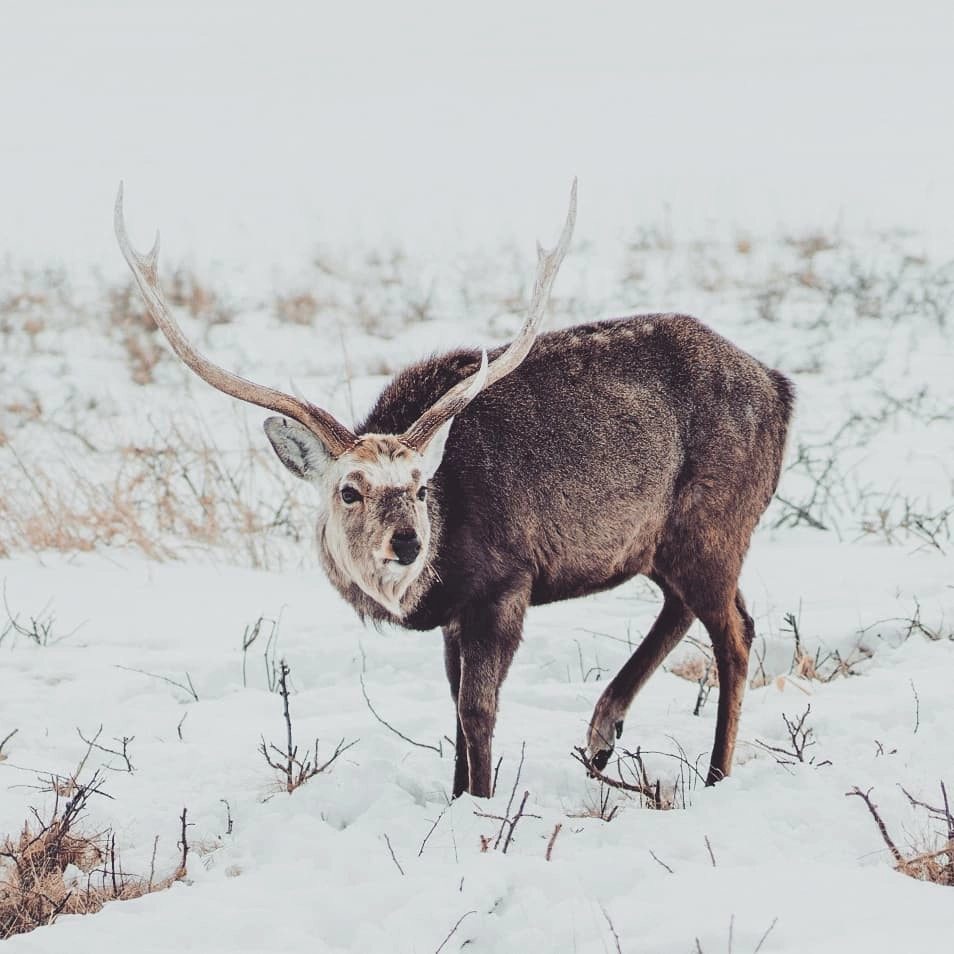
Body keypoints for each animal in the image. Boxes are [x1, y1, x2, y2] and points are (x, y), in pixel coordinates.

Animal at [115, 178, 792, 796]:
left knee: (735, 634)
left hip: (716, 524)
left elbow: (477, 711)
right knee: (690, 608)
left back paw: (713, 774)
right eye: (350, 490)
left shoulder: (508, 582)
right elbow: (454, 710)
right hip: (666, 543)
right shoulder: (455, 615)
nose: (409, 544)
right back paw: (603, 732)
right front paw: (459, 795)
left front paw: (483, 805)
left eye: (420, 487)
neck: (430, 585)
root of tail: (782, 389)